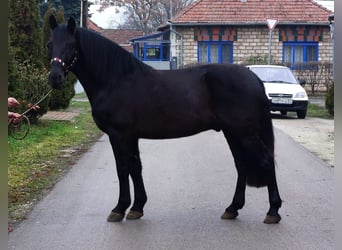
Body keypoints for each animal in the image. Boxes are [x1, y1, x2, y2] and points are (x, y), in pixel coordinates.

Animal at [48, 15, 282, 224]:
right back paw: (232, 208)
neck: (116, 80)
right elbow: (135, 167)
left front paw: (119, 209)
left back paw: (273, 211)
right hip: (232, 132)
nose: (55, 78)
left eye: (71, 45)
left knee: (266, 160)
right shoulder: (131, 137)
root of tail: (254, 77)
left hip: (245, 134)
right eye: (50, 44)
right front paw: (137, 207)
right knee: (241, 164)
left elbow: (122, 169)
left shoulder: (119, 135)